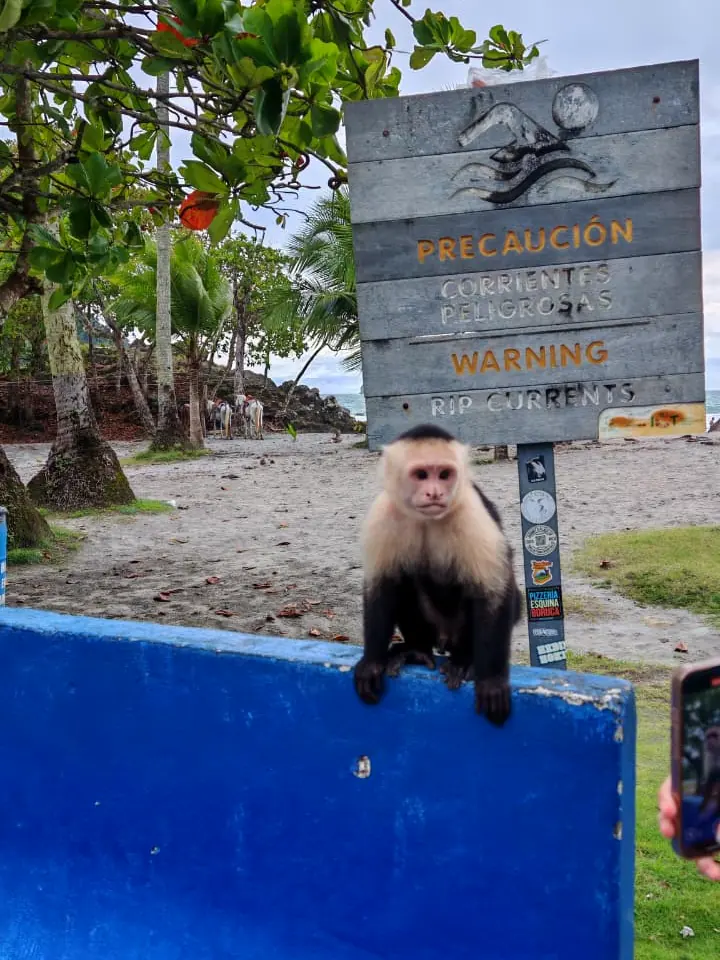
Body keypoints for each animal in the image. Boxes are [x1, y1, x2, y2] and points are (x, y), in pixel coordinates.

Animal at [353, 423, 522, 726]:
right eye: (421, 475)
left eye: (444, 475)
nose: (434, 493)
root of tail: (444, 639)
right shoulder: (383, 512)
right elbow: (381, 585)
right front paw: (372, 662)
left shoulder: (471, 510)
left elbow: (494, 591)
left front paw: (491, 680)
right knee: (403, 581)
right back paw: (416, 650)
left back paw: (465, 660)